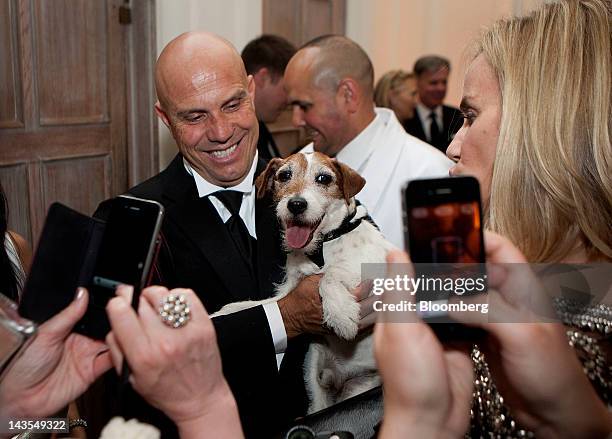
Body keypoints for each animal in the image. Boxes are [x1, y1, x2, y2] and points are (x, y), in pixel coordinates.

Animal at [215, 151, 394, 412]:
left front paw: (341, 315)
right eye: (284, 175)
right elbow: (261, 304)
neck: (320, 247)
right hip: (313, 371)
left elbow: (329, 276)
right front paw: (224, 312)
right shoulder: (290, 289)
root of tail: (342, 378)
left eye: (324, 178)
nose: (296, 204)